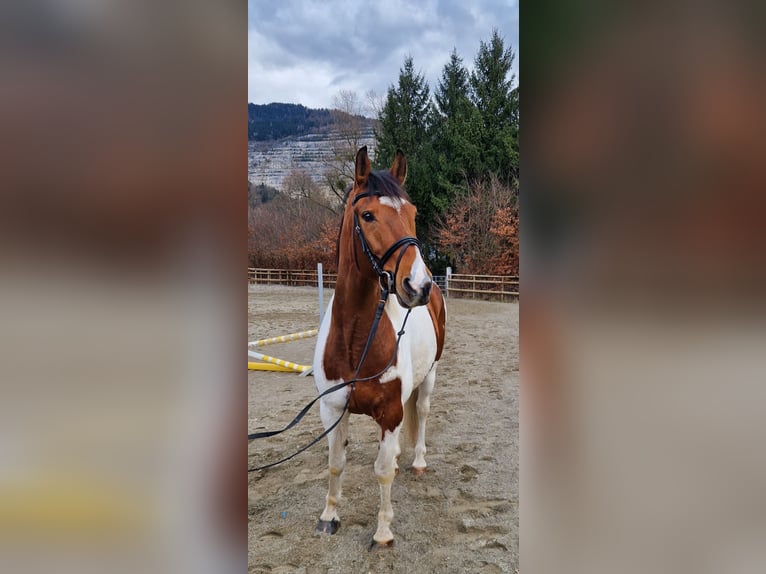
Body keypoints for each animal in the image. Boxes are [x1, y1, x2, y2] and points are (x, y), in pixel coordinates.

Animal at [312, 144, 448, 548]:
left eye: (413, 213)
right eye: (368, 215)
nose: (419, 285)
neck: (357, 337)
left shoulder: (389, 414)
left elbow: (383, 471)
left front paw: (384, 531)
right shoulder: (332, 409)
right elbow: (335, 464)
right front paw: (329, 516)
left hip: (430, 376)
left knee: (422, 411)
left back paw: (417, 462)